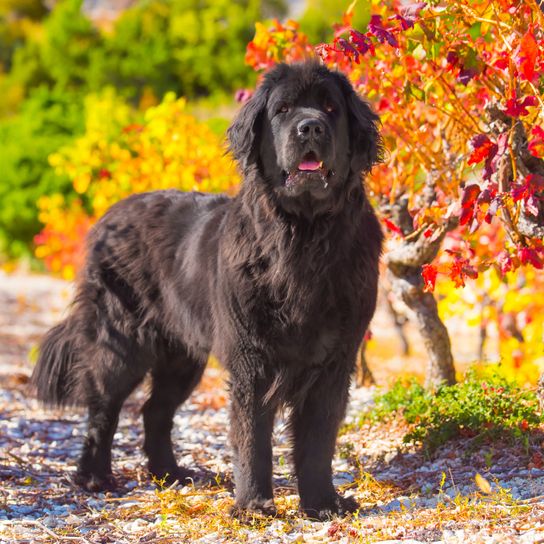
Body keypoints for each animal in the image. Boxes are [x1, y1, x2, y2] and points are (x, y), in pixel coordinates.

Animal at [33, 60, 382, 520]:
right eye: (283, 109)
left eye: (329, 108)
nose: (310, 127)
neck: (302, 238)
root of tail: (110, 214)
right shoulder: (252, 358)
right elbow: (252, 436)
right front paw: (253, 506)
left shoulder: (333, 360)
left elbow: (318, 438)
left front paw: (322, 503)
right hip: (120, 340)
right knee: (103, 408)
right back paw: (94, 477)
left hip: (182, 355)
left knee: (155, 410)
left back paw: (170, 474)